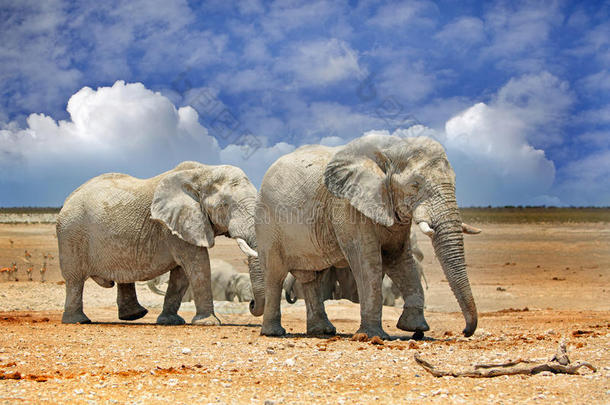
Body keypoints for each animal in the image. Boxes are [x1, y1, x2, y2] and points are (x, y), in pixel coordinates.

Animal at [57, 159, 264, 324]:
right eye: (224, 205)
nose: (252, 302)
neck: (203, 171)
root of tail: (68, 198)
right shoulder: (174, 225)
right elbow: (198, 265)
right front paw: (208, 323)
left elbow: (181, 273)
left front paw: (170, 321)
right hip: (71, 233)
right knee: (74, 279)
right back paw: (78, 321)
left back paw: (134, 316)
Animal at [253, 134, 480, 340]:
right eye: (415, 185)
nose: (465, 331)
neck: (391, 150)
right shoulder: (346, 207)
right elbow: (367, 261)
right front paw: (373, 335)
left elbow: (399, 259)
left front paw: (415, 328)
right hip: (268, 225)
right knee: (275, 274)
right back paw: (274, 333)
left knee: (311, 278)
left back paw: (323, 331)